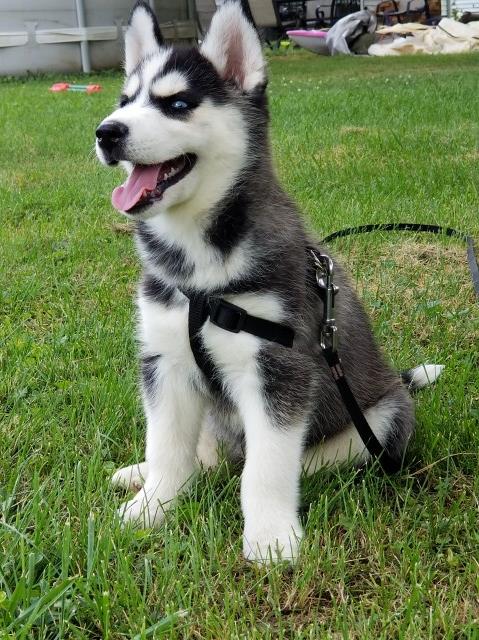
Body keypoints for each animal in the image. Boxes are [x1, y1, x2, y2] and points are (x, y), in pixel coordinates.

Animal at [94, 0, 442, 560]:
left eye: (178, 104)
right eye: (126, 101)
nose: (106, 132)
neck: (199, 265)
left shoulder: (279, 369)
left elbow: (265, 466)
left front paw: (271, 537)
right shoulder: (165, 362)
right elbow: (167, 446)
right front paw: (151, 508)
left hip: (382, 416)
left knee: (294, 458)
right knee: (207, 453)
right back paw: (144, 472)